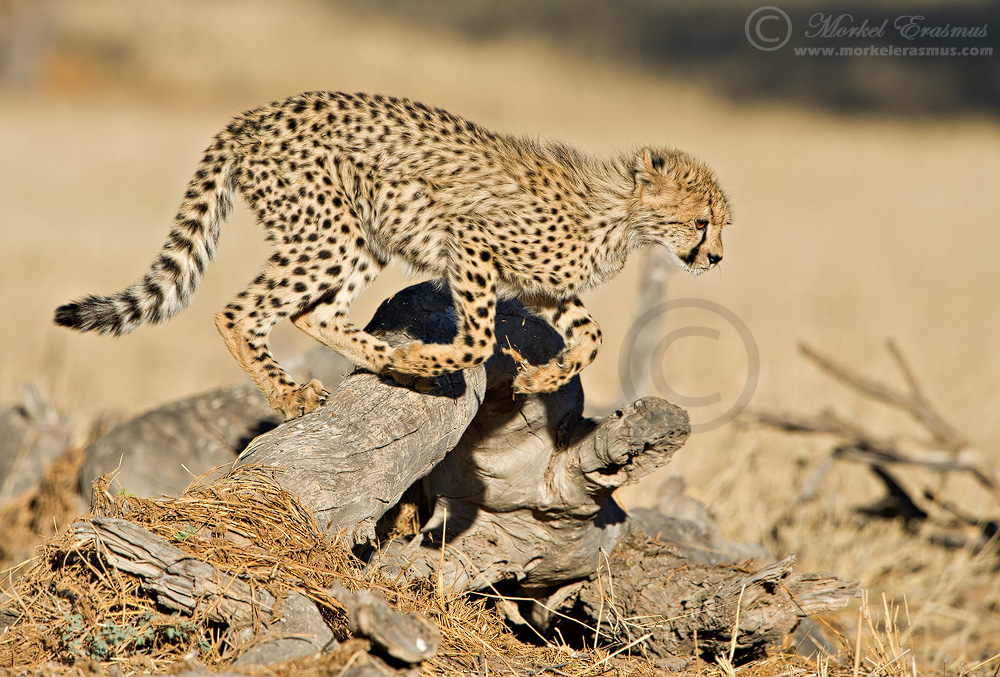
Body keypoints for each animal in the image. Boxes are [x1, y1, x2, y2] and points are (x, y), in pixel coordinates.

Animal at [55, 91, 731, 420]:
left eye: (721, 226)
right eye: (702, 222)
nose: (716, 258)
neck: (620, 212)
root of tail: (254, 114)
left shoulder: (544, 288)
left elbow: (590, 336)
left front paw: (539, 377)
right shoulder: (472, 244)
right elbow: (478, 338)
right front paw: (436, 355)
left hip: (362, 237)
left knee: (315, 313)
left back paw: (399, 364)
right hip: (328, 231)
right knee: (239, 311)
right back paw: (295, 394)